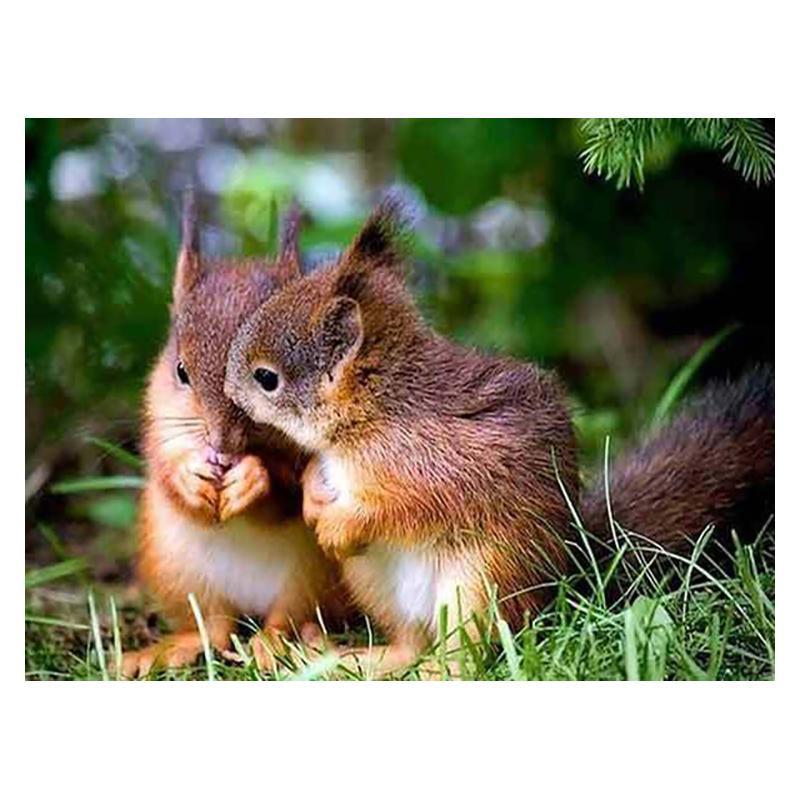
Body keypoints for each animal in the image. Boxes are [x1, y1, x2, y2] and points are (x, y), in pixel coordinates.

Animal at [120, 193, 345, 678]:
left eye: (267, 378)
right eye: (181, 371)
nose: (221, 448)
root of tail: (248, 603)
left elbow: (290, 492)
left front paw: (253, 478)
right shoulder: (158, 423)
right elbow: (163, 470)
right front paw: (188, 477)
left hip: (315, 574)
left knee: (288, 616)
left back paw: (278, 646)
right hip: (176, 568)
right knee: (214, 627)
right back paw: (169, 650)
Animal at [224, 198, 580, 675]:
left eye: (266, 378)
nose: (227, 391)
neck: (373, 414)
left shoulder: (429, 466)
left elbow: (400, 509)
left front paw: (336, 526)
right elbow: (314, 472)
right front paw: (314, 502)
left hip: (481, 584)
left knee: (465, 657)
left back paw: (433, 671)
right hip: (372, 581)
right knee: (410, 643)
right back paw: (351, 659)